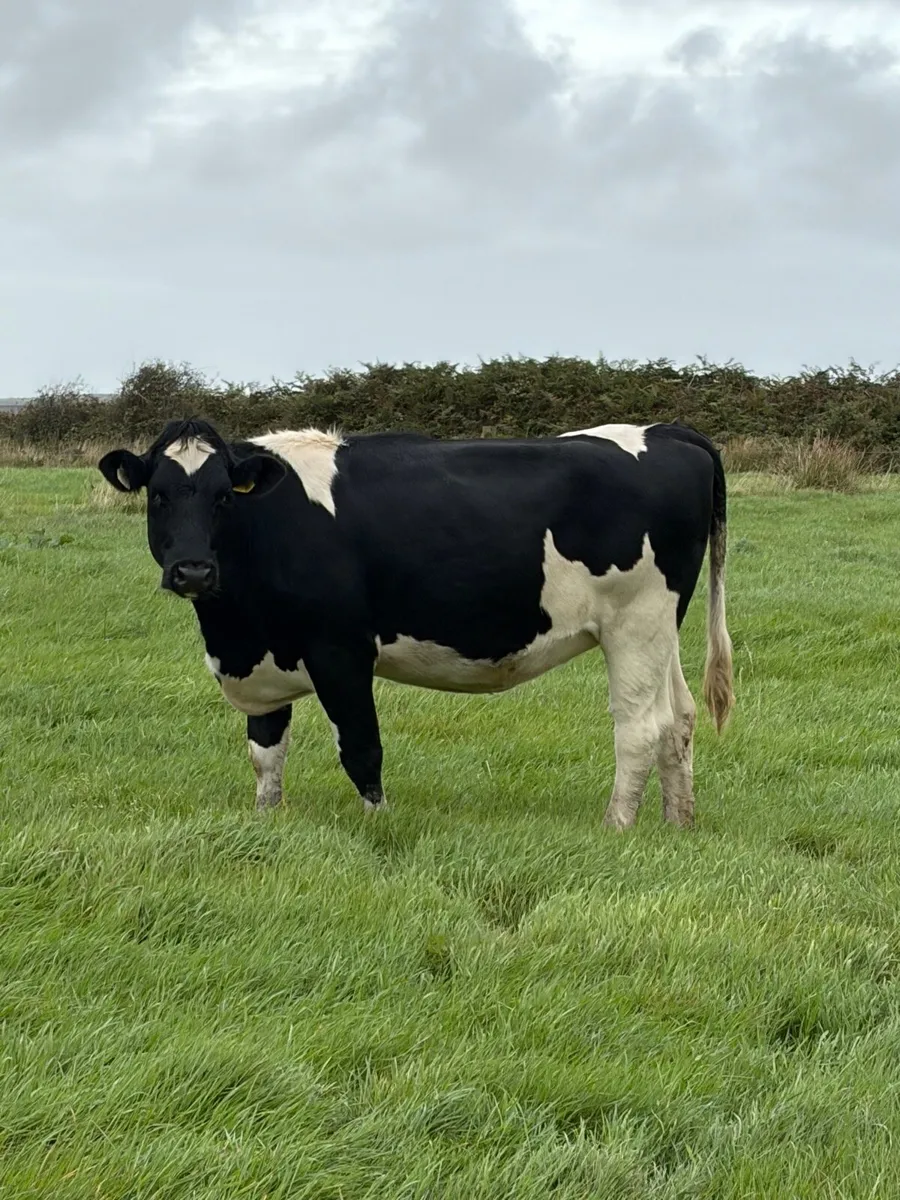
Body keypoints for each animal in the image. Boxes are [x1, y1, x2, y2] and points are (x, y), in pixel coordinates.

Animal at [98, 417, 733, 829]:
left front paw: (378, 826)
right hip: (660, 628)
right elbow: (266, 752)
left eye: (224, 497)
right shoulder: (266, 655)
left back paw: (616, 825)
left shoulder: (340, 650)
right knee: (679, 717)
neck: (233, 630)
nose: (193, 570)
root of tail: (670, 431)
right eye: (158, 496)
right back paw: (678, 822)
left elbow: (361, 747)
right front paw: (266, 822)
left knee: (639, 727)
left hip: (635, 620)